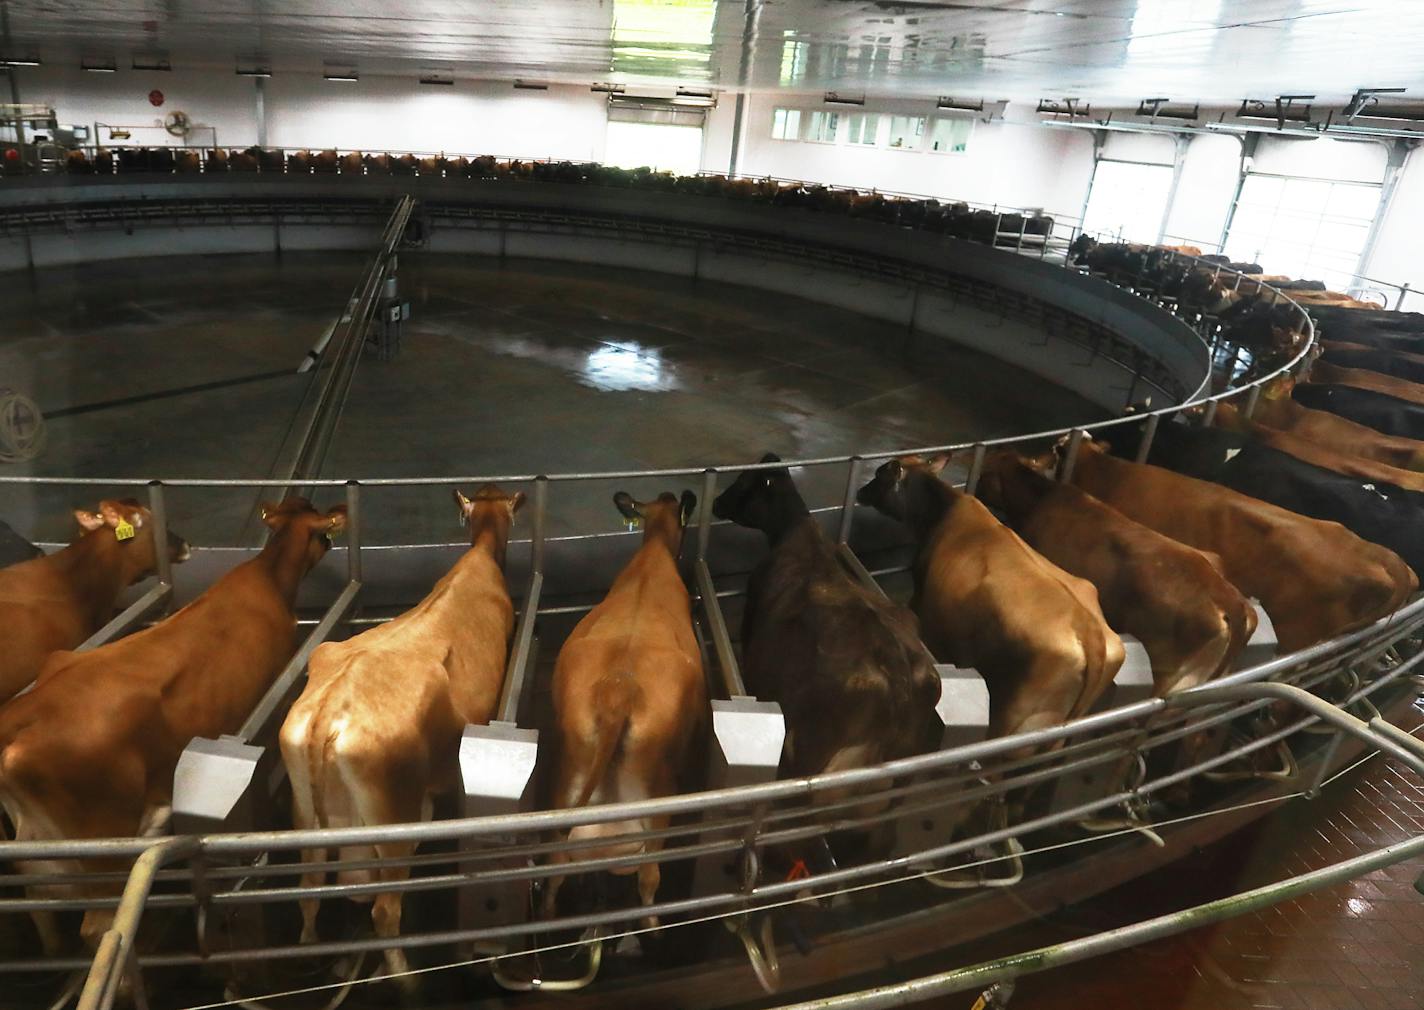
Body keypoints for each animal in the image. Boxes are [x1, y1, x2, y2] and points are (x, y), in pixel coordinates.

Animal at [279, 487, 524, 974]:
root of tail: (328, 711)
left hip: (304, 813)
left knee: (309, 892)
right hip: (394, 817)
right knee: (385, 909)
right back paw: (403, 972)